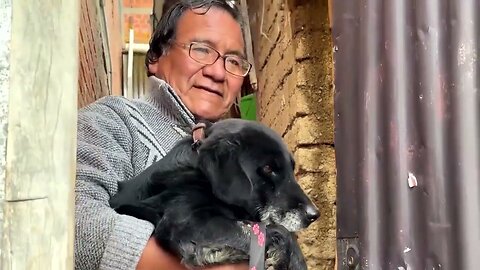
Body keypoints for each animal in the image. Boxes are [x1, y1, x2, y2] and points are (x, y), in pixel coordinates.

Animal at [109, 119, 318, 268]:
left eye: (291, 169)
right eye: (268, 168)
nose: (314, 215)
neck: (201, 176)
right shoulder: (189, 221)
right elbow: (273, 230)